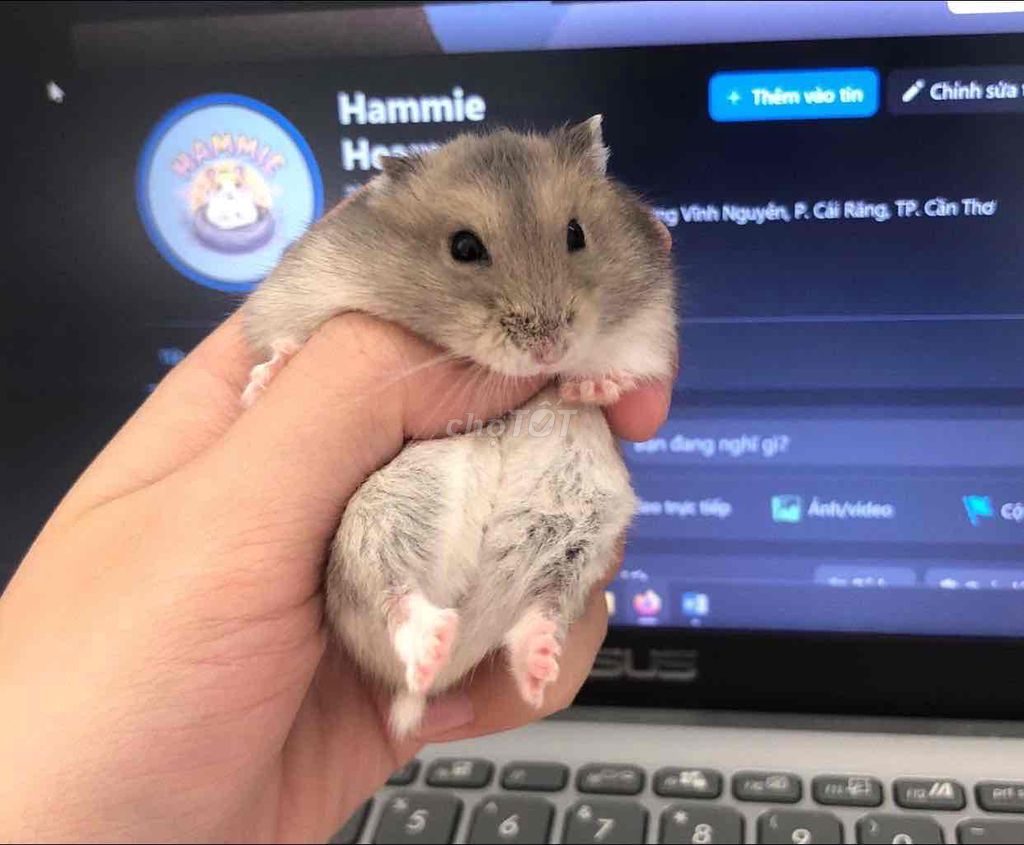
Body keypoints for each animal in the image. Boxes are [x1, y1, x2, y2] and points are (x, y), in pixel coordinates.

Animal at [241, 117, 677, 735]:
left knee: (538, 612)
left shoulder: (648, 333)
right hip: (370, 528)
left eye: (576, 233)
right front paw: (265, 380)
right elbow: (284, 339)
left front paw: (583, 388)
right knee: (392, 595)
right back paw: (433, 643)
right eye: (464, 248)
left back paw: (537, 666)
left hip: (577, 541)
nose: (549, 349)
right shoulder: (301, 292)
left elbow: (626, 374)